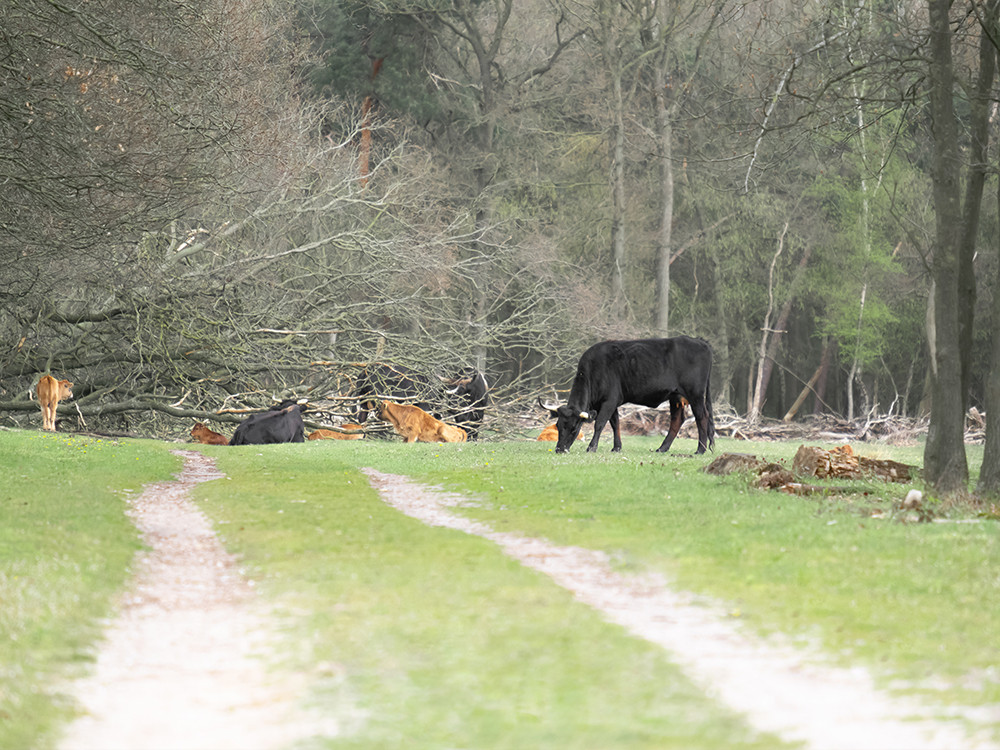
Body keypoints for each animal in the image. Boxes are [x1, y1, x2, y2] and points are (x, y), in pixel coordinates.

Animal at [544, 338, 716, 456]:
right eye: (558, 426)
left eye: (574, 428)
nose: (560, 449)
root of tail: (700, 342)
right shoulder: (609, 403)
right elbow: (615, 424)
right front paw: (617, 447)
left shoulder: (609, 401)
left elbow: (600, 423)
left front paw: (592, 447)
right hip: (676, 397)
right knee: (677, 420)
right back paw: (662, 448)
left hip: (695, 394)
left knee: (702, 417)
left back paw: (700, 449)